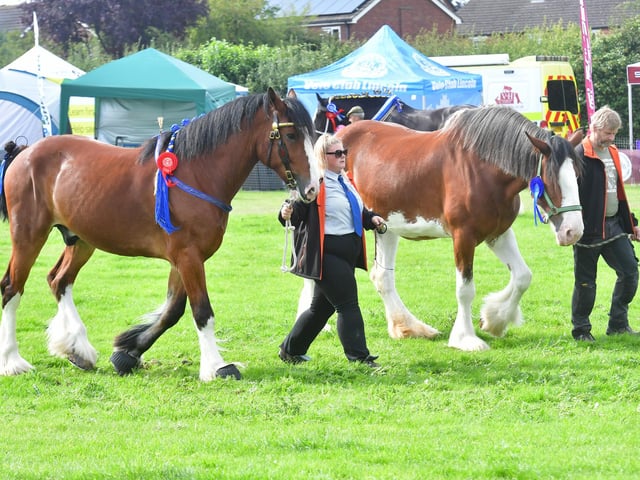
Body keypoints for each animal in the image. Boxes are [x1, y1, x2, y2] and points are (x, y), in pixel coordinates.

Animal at [0, 87, 320, 381]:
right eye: (291, 136)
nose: (312, 188)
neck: (195, 174)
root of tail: (25, 153)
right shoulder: (188, 256)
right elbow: (201, 311)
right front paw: (217, 366)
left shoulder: (185, 260)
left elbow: (172, 311)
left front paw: (128, 352)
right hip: (29, 235)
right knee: (12, 288)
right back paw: (13, 361)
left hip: (81, 241)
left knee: (59, 281)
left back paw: (78, 349)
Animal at [301, 106, 584, 351]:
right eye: (551, 178)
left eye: (578, 175)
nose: (574, 231)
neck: (482, 168)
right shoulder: (463, 236)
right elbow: (465, 290)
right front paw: (466, 338)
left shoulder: (498, 234)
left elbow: (523, 277)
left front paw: (494, 319)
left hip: (386, 227)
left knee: (382, 277)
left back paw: (409, 327)